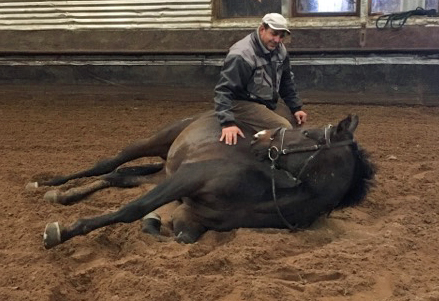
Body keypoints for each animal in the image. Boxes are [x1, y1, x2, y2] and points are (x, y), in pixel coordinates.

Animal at [30, 110, 374, 248]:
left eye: (305, 134)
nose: (258, 137)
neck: (265, 193)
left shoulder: (189, 213)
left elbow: (181, 238)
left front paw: (154, 224)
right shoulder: (188, 177)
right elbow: (132, 210)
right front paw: (60, 232)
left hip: (162, 172)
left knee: (120, 177)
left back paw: (64, 196)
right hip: (160, 141)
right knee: (111, 162)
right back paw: (48, 185)